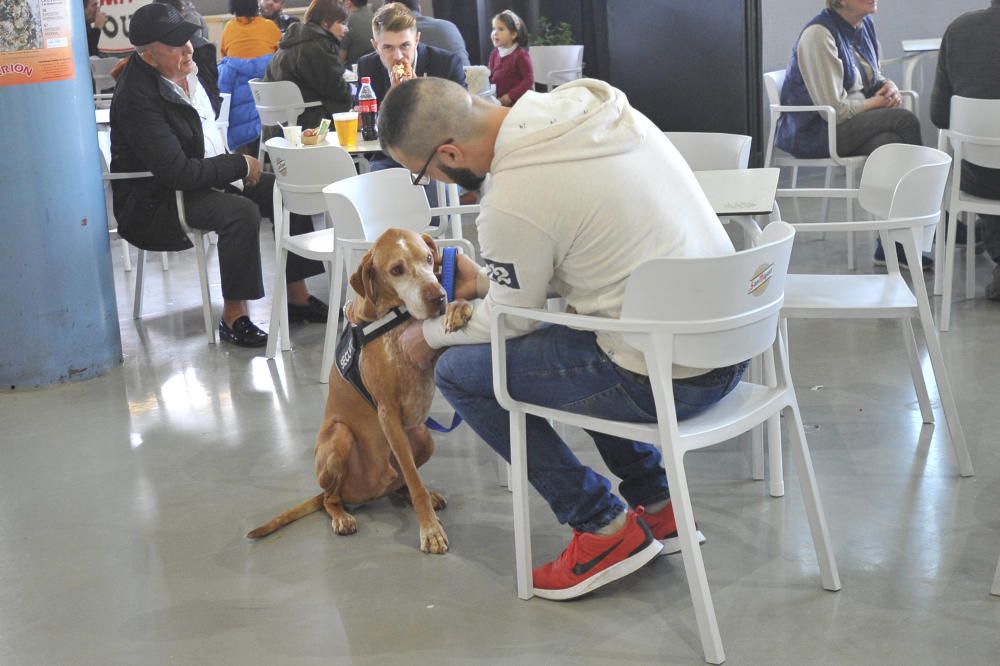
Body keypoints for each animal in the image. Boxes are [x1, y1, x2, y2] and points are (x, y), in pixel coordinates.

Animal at [248, 227, 470, 548]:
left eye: (429, 258)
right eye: (396, 270)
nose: (438, 297)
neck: (395, 318)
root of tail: (370, 491)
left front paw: (459, 307)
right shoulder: (388, 413)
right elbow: (414, 479)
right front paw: (430, 530)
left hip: (423, 436)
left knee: (400, 482)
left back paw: (422, 495)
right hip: (340, 438)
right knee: (331, 498)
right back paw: (342, 517)